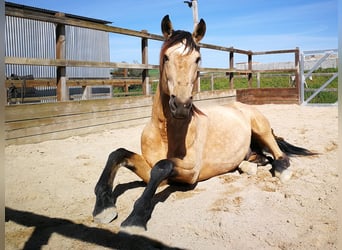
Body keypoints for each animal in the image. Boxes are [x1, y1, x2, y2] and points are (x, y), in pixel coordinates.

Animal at [91, 15, 316, 230]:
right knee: (260, 157)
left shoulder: (190, 172)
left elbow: (162, 166)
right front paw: (103, 206)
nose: (181, 105)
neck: (165, 133)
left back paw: (281, 170)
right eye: (166, 57)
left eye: (198, 59)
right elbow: (118, 154)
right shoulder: (148, 168)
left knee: (279, 155)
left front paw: (135, 218)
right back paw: (247, 167)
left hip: (261, 129)